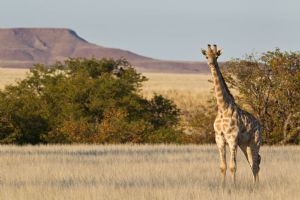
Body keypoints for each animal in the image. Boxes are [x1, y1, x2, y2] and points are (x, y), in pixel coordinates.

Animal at [202, 44, 262, 187]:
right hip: (244, 145)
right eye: (207, 56)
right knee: (253, 163)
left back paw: (256, 186)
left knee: (256, 164)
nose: (211, 63)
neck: (223, 108)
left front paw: (233, 186)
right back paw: (255, 185)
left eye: (216, 56)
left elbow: (233, 166)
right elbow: (223, 166)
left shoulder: (232, 138)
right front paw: (222, 186)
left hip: (255, 141)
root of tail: (259, 124)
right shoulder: (219, 138)